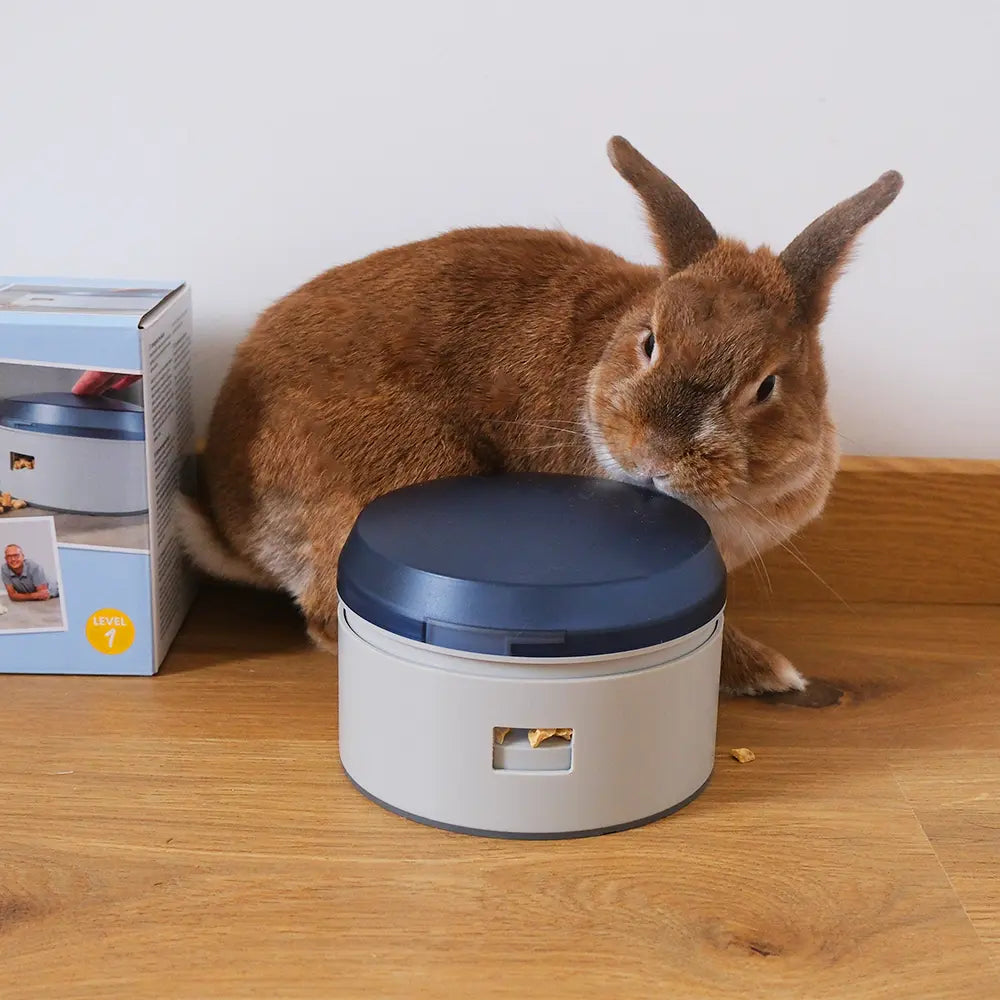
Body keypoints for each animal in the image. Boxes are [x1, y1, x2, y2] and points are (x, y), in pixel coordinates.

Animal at [177, 135, 902, 696]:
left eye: (767, 385)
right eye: (650, 341)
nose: (656, 457)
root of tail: (232, 517)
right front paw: (772, 672)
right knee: (329, 620)